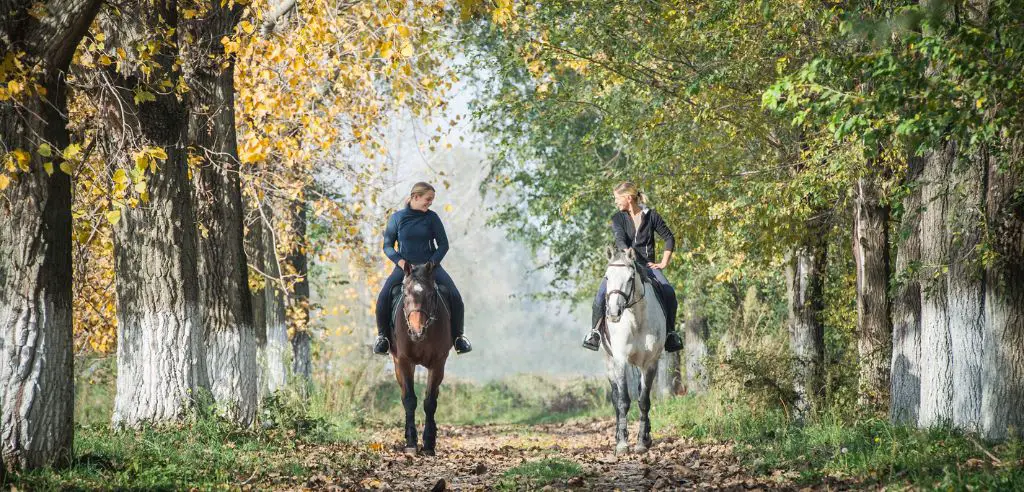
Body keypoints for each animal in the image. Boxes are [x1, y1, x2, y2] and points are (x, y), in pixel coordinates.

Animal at [389, 261, 450, 457]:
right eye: (406, 294)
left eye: (430, 295)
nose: (417, 331)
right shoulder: (404, 361)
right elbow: (409, 400)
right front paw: (410, 443)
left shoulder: (438, 363)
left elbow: (430, 402)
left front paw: (429, 443)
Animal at [598, 248, 663, 455]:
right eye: (607, 277)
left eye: (630, 278)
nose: (613, 313)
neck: (636, 319)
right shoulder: (620, 361)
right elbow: (623, 400)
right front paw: (622, 444)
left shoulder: (650, 363)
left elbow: (644, 401)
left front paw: (642, 441)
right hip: (608, 361)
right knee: (615, 397)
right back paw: (618, 435)